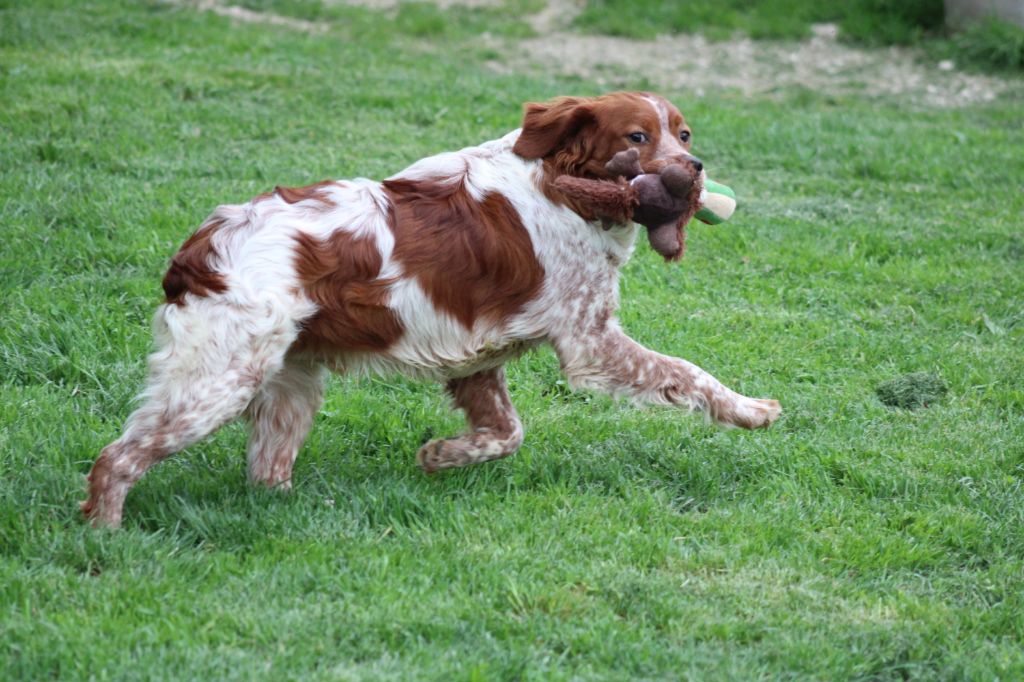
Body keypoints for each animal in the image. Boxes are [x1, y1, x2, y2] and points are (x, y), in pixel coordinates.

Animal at [81, 90, 782, 524]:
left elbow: (507, 433)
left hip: (290, 384)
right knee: (118, 458)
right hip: (219, 382)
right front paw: (750, 410)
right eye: (638, 136)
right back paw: (104, 535)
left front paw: (441, 455)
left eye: (684, 133)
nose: (693, 169)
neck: (562, 187)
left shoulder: (477, 358)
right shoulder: (591, 343)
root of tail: (200, 246)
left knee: (265, 470)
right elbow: (688, 373)